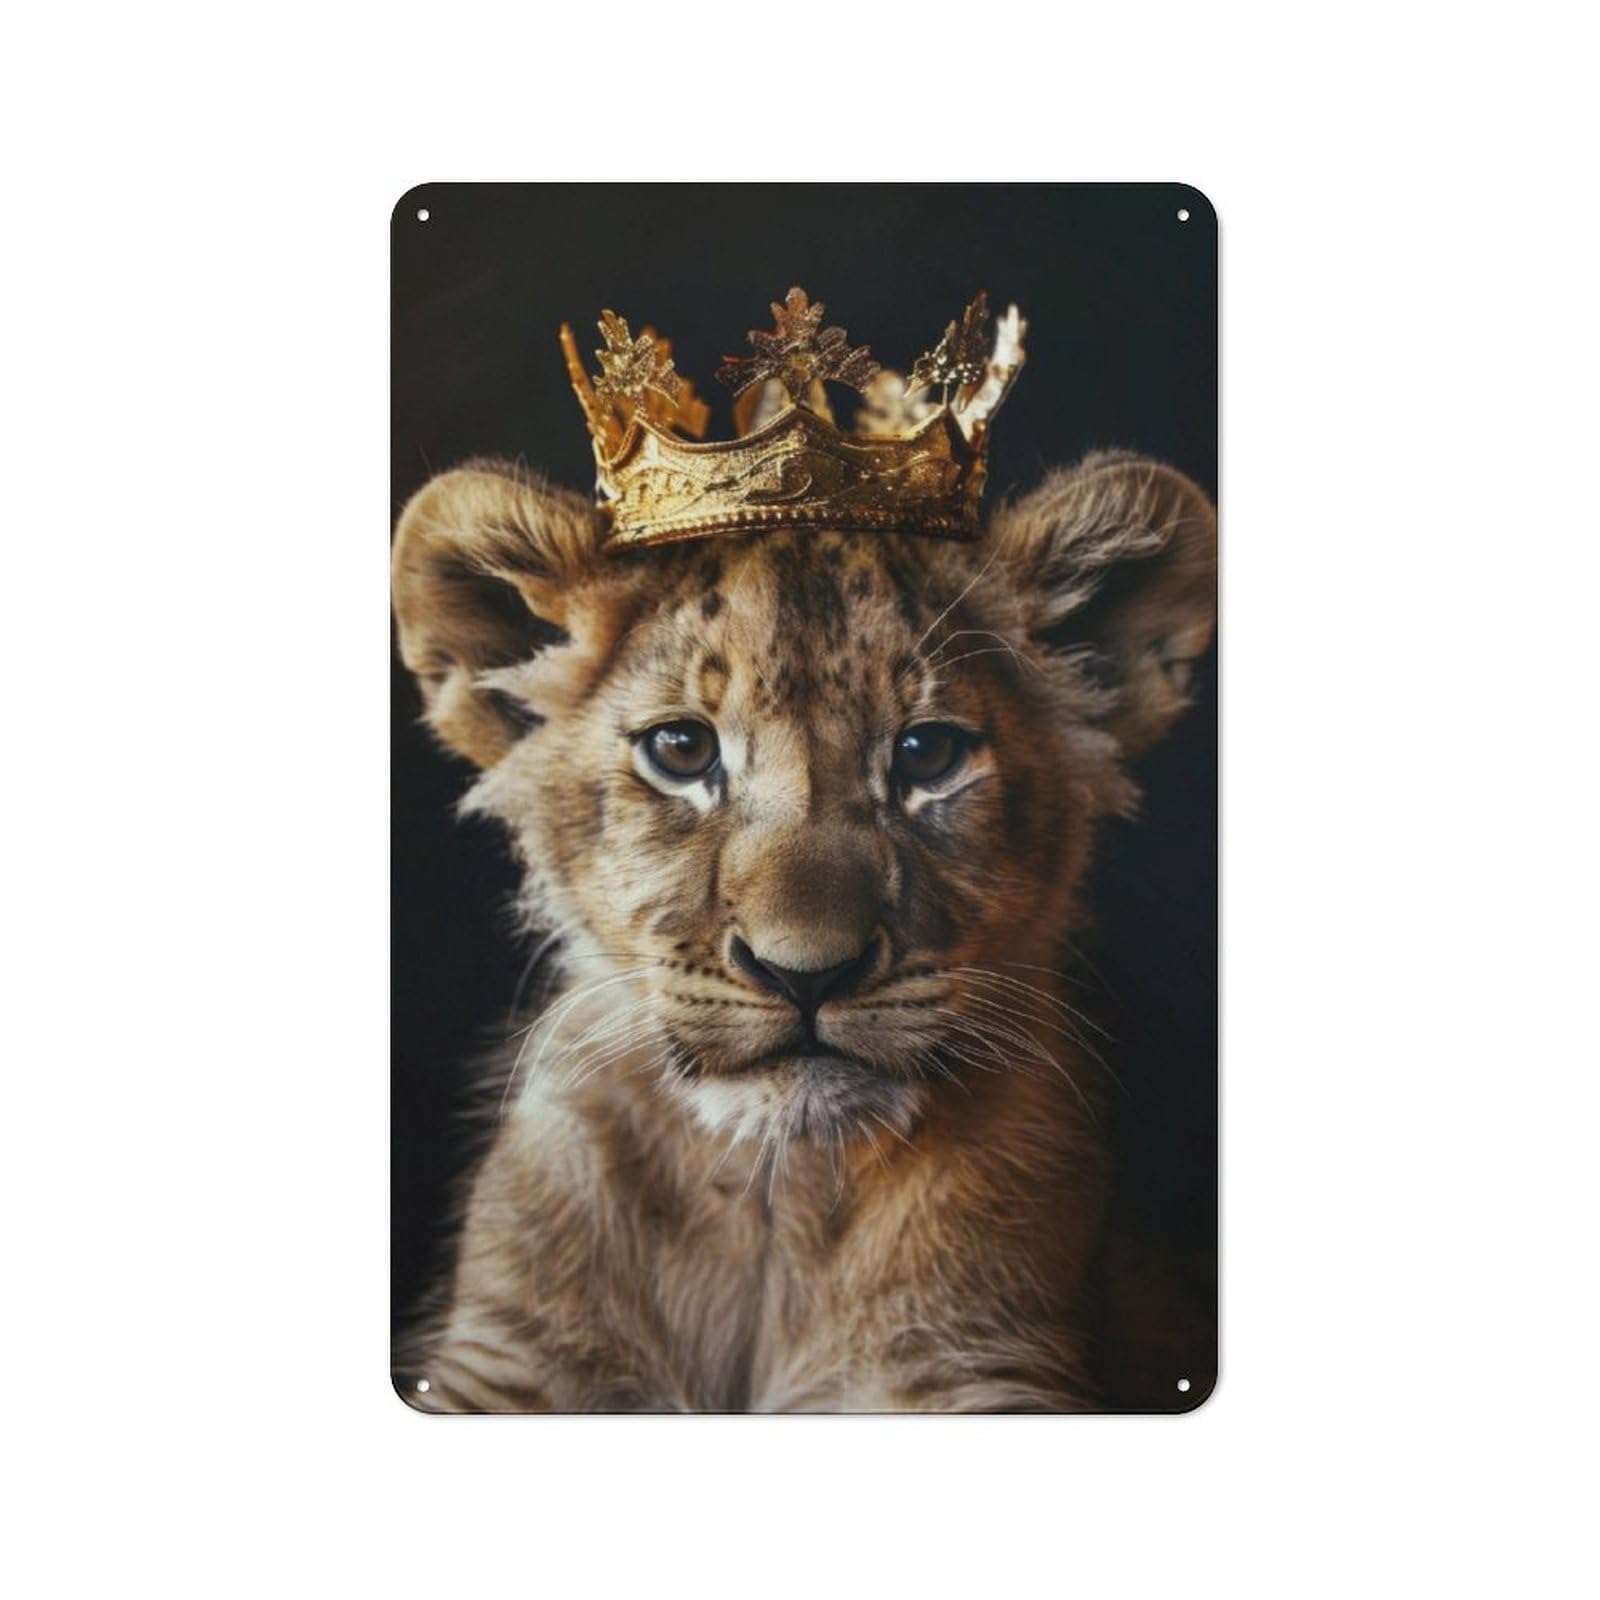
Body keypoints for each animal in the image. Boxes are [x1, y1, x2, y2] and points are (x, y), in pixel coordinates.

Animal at [391, 447, 1216, 1412]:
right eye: (681, 751)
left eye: (926, 754)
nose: (806, 975)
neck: (771, 1201)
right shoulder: (504, 1364)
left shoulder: (984, 1365)